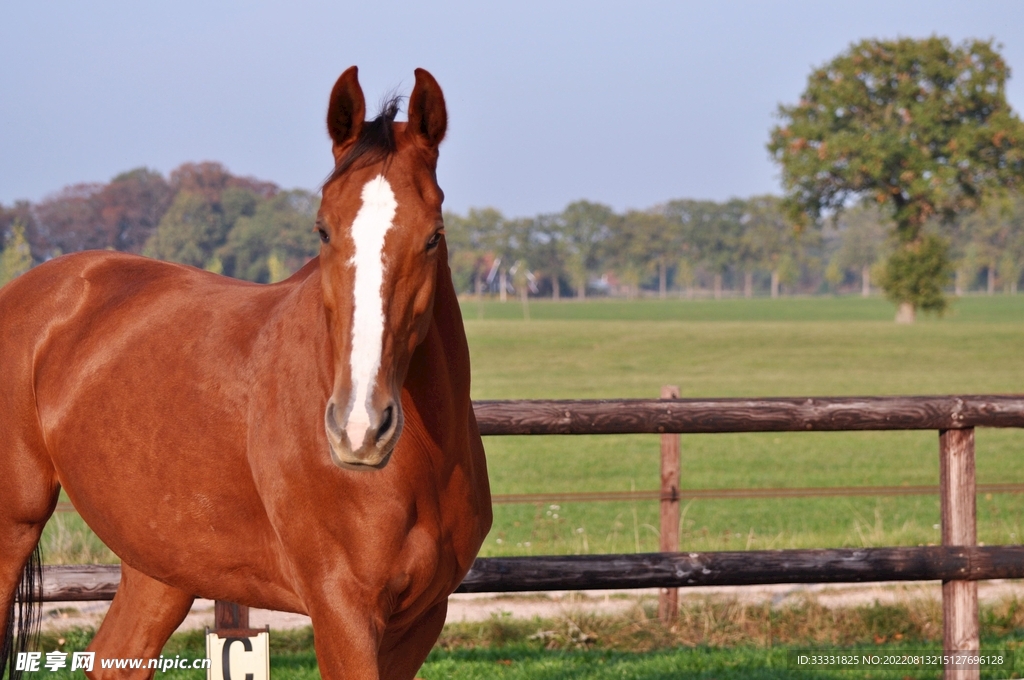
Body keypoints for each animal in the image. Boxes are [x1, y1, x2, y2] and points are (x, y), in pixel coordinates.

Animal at [0, 66, 492, 680]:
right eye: (323, 229)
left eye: (434, 235)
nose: (359, 429)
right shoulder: (343, 612)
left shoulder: (420, 619)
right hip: (13, 529)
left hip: (161, 564)